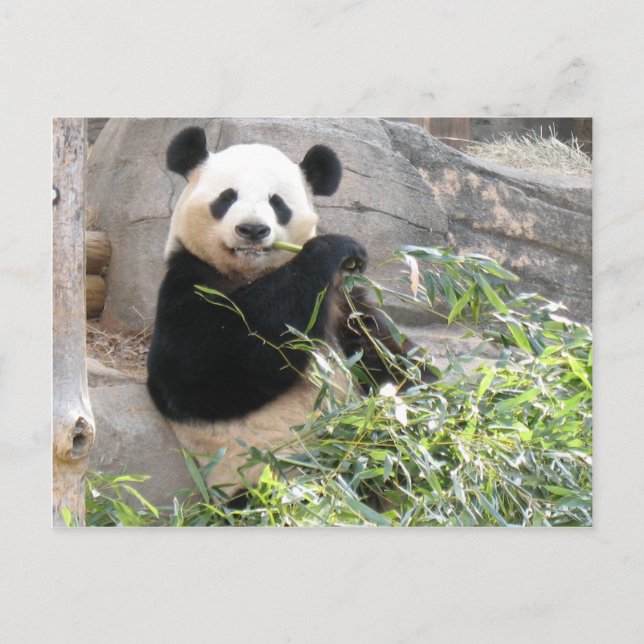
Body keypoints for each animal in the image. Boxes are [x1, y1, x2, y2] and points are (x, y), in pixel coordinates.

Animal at [147, 126, 426, 497]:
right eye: (227, 197)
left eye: (277, 203)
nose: (252, 229)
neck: (252, 273)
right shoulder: (189, 280)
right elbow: (198, 369)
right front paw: (335, 247)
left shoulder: (342, 302)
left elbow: (383, 352)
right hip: (263, 481)